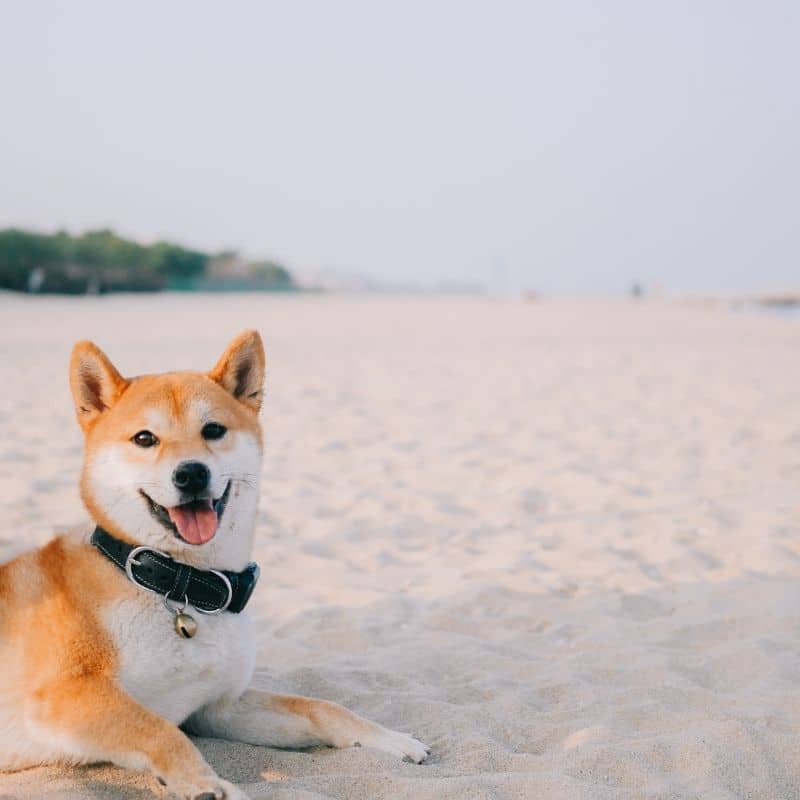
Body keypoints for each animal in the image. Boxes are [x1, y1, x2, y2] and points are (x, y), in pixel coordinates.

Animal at [0, 328, 432, 796]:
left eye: (213, 430)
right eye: (145, 439)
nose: (191, 473)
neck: (180, 585)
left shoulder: (218, 707)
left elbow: (321, 707)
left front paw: (390, 738)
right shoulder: (64, 695)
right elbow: (159, 731)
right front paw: (210, 786)